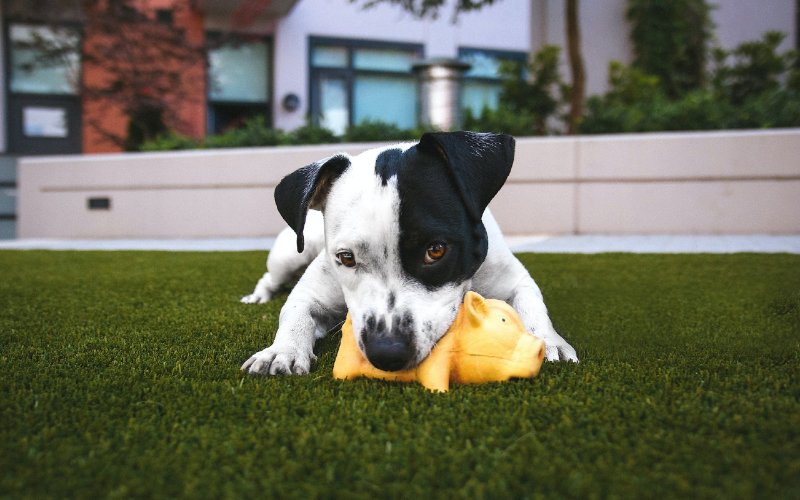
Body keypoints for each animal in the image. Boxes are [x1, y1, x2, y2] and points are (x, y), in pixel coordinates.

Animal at [238, 130, 576, 376]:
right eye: (346, 258)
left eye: (436, 250)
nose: (387, 353)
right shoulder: (311, 293)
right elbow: (296, 314)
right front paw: (281, 351)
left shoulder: (514, 279)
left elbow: (533, 306)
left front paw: (548, 340)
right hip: (290, 254)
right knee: (270, 277)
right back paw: (258, 296)